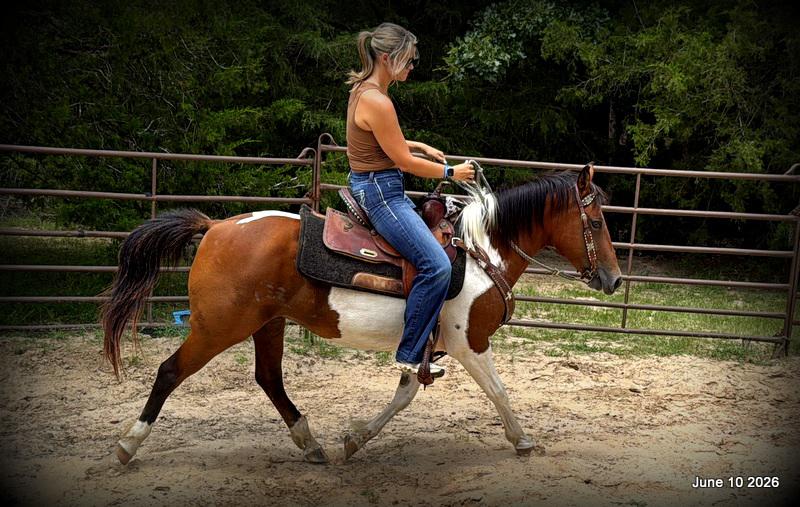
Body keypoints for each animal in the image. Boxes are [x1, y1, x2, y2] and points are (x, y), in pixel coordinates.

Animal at [102, 163, 622, 465]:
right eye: (596, 221)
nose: (614, 280)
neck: (480, 253)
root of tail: (214, 227)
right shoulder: (467, 341)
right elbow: (497, 390)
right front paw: (522, 440)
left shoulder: (426, 342)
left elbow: (405, 393)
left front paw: (356, 440)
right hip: (219, 326)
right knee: (170, 371)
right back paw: (129, 444)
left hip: (267, 324)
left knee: (269, 379)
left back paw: (311, 444)